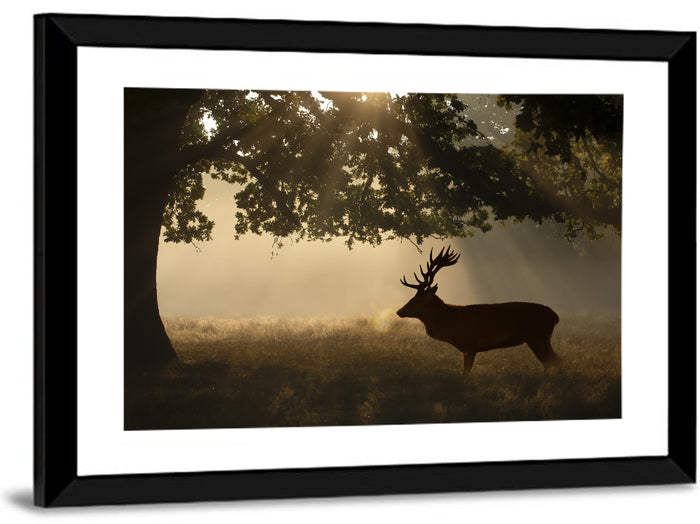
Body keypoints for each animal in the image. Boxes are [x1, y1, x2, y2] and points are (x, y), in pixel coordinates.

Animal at [396, 246, 560, 374]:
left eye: (416, 300)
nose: (399, 311)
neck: (450, 322)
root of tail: (555, 316)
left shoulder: (470, 344)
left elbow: (466, 373)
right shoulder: (467, 348)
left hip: (537, 336)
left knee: (552, 361)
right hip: (541, 338)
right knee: (553, 361)